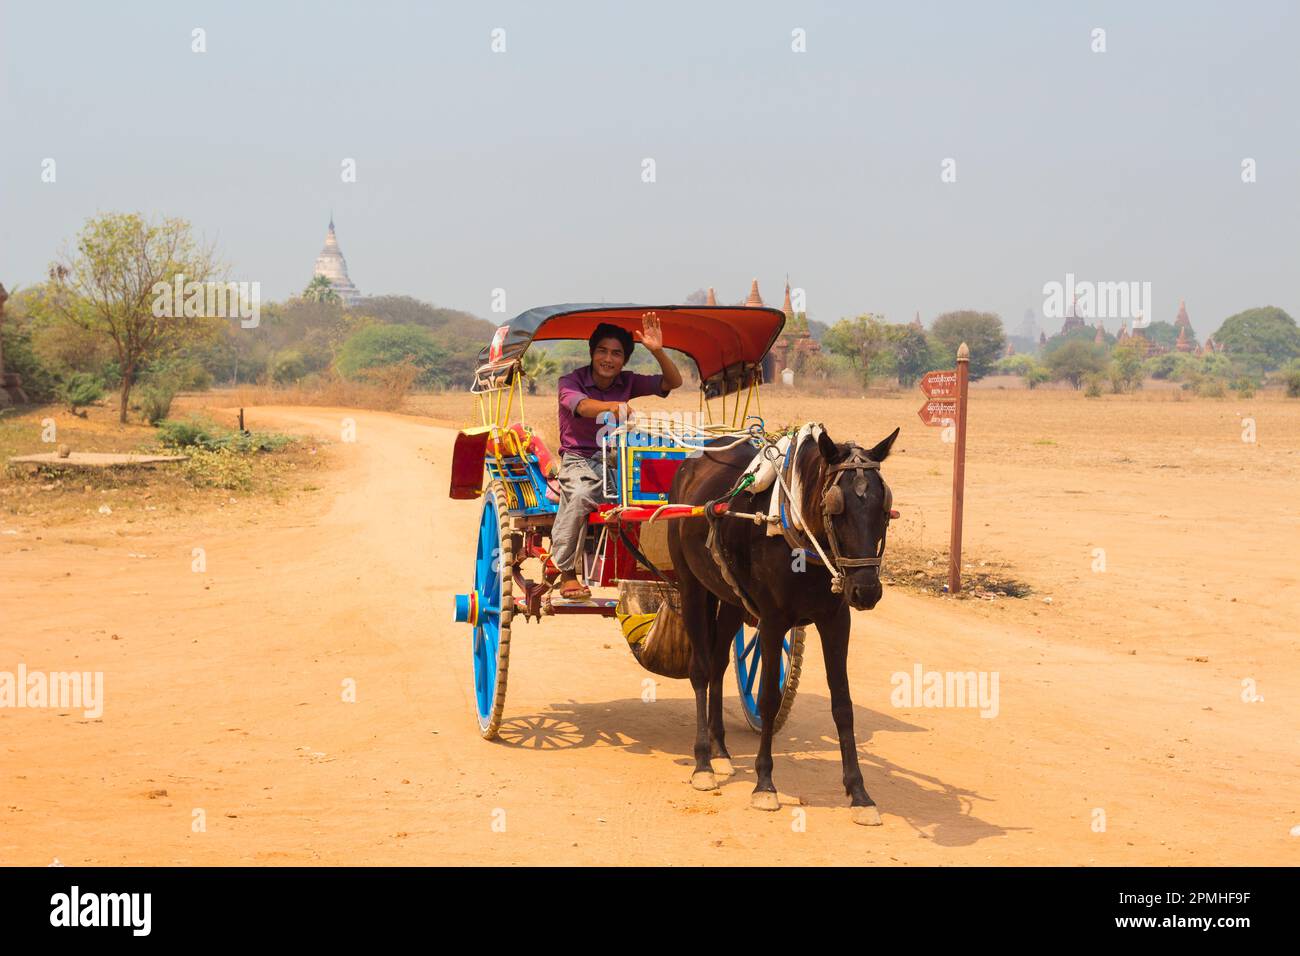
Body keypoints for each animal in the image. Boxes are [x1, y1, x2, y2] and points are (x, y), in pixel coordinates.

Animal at [666, 425, 900, 826]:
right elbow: (768, 698)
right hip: (691, 584)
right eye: (836, 509)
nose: (867, 590)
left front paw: (859, 793)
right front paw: (764, 784)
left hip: (732, 599)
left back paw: (721, 751)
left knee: (718, 665)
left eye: (883, 509)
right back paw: (703, 762)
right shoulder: (774, 622)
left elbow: (843, 704)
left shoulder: (836, 620)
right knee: (700, 670)